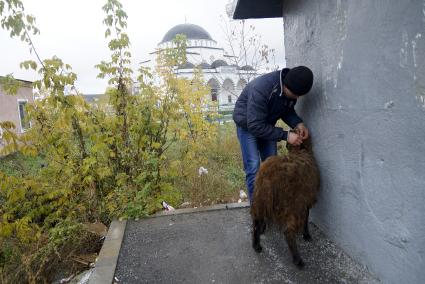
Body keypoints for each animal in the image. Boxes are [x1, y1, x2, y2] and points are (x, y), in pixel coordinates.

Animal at [248, 135, 318, 266]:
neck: (299, 151)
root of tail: (268, 175)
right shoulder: (305, 200)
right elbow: (306, 219)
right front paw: (306, 235)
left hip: (260, 199)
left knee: (256, 223)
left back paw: (256, 245)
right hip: (292, 205)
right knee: (288, 232)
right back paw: (298, 260)